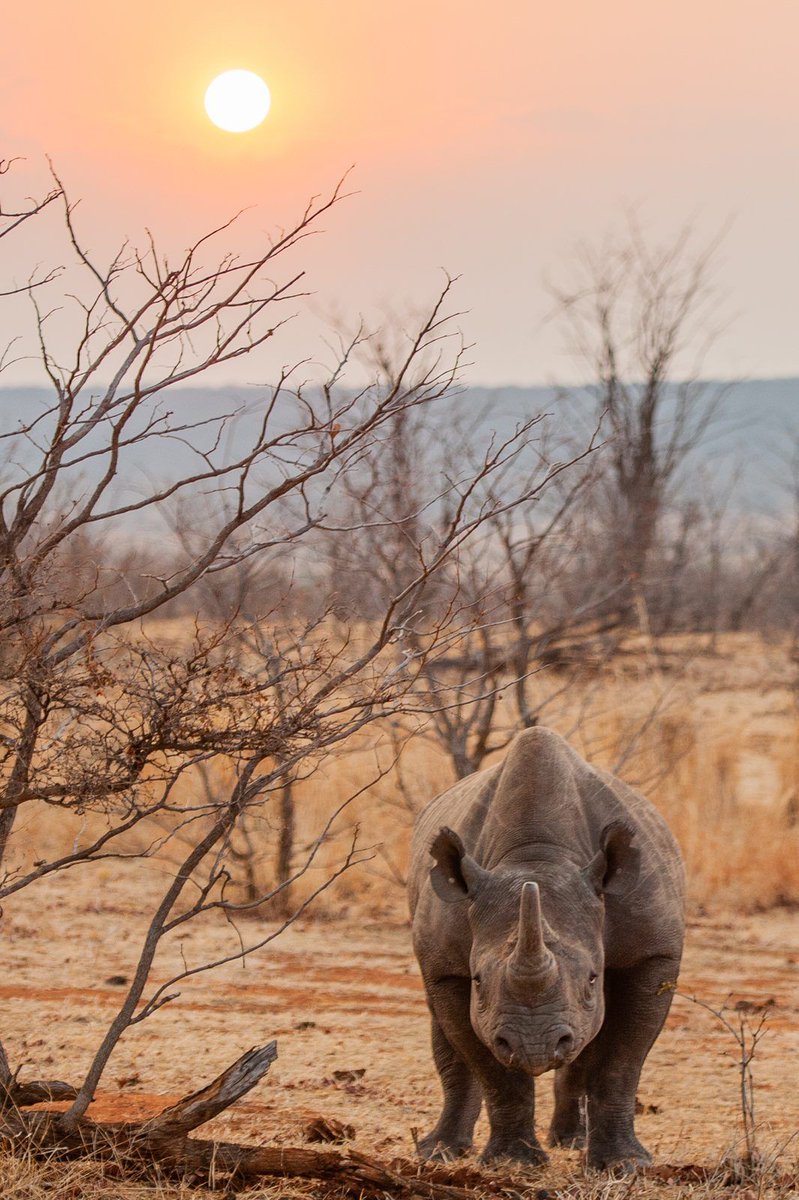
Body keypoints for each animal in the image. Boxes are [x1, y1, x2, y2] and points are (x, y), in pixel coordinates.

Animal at [408, 726, 684, 1171]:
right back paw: (440, 1151)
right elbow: (490, 1065)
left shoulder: (652, 954)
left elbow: (622, 1059)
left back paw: (570, 1141)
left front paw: (623, 1165)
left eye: (592, 979)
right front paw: (512, 1162)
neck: (538, 857)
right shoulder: (445, 967)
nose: (534, 1046)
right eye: (478, 981)